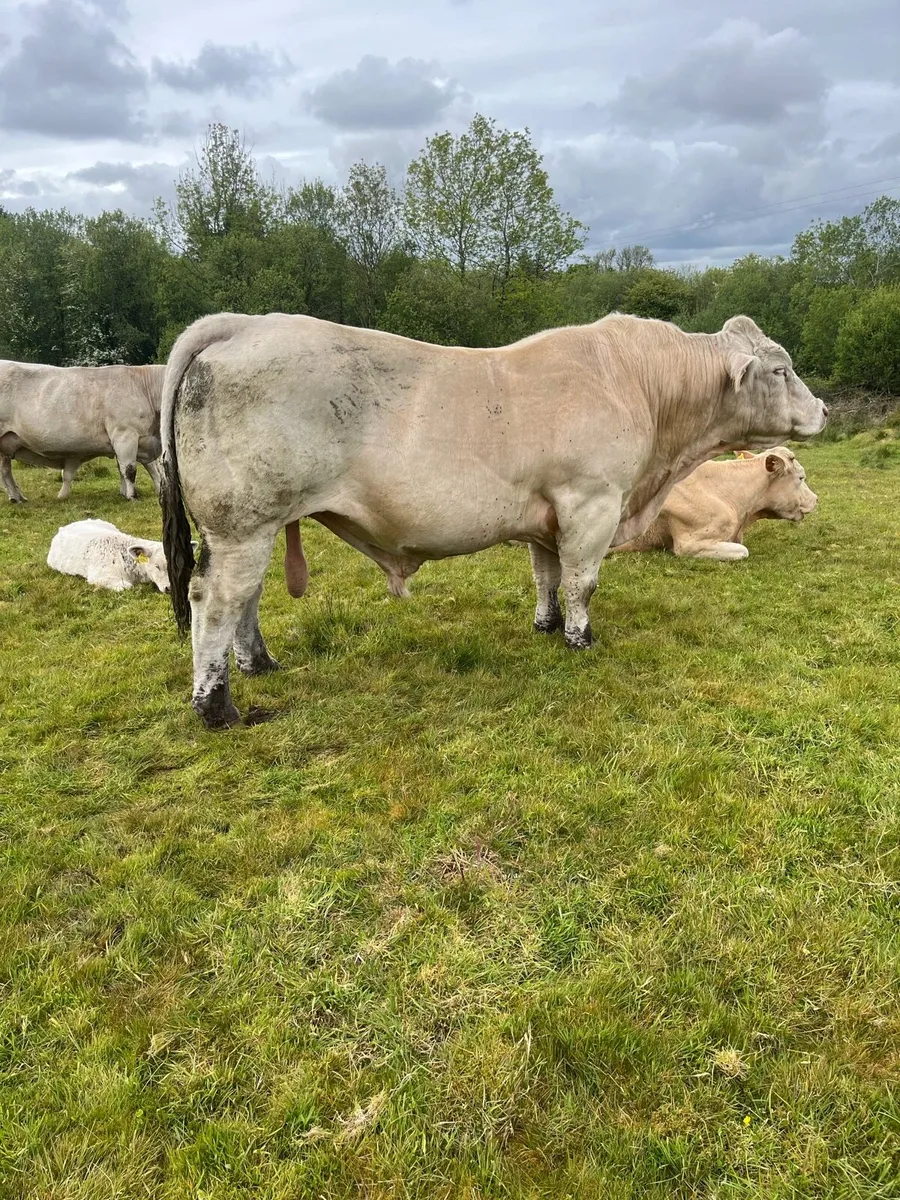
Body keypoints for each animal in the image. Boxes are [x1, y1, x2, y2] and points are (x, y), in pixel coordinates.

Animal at [0, 361, 165, 502]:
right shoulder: (125, 434)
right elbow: (130, 469)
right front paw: (132, 496)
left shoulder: (140, 438)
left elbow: (143, 468)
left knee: (5, 471)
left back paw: (17, 498)